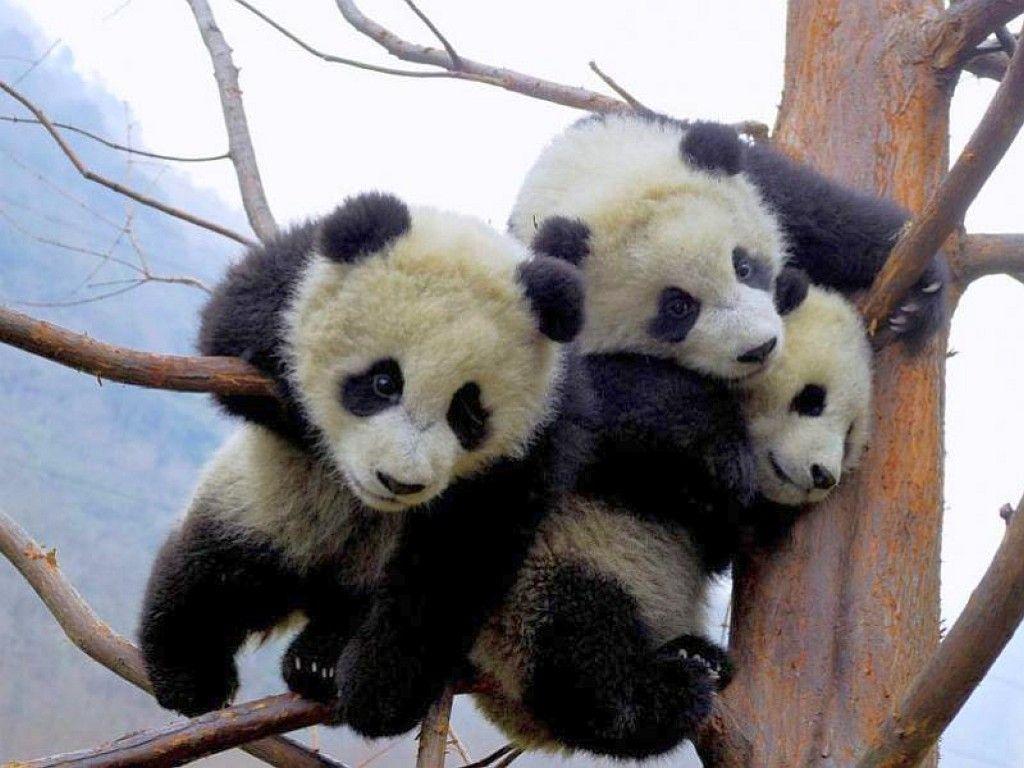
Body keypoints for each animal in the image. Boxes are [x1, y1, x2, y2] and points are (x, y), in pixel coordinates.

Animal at [137, 192, 592, 739]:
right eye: (383, 382)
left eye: (466, 411)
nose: (398, 482)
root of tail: (309, 591)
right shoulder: (288, 286)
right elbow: (228, 333)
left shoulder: (535, 442)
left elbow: (456, 561)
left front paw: (379, 692)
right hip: (258, 504)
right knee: (211, 570)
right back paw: (190, 672)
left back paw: (319, 660)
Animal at [468, 283, 873, 760]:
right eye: (811, 399)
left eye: (850, 436)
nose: (822, 475)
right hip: (539, 576)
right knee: (578, 638)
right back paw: (661, 695)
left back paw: (699, 657)